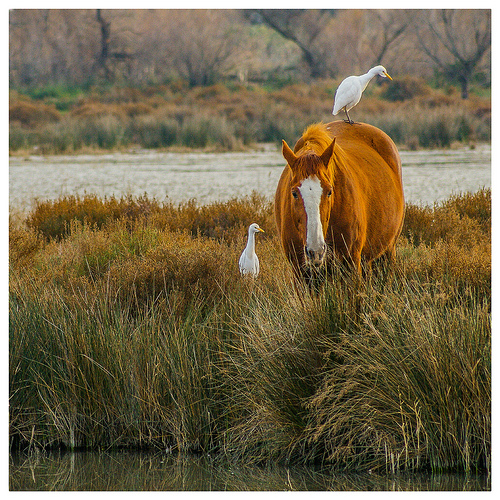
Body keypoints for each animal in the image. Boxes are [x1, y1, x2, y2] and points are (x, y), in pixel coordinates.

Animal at [276, 119, 404, 288]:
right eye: (294, 193)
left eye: (330, 191)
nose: (316, 252)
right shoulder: (300, 272)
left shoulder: (351, 264)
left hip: (387, 252)